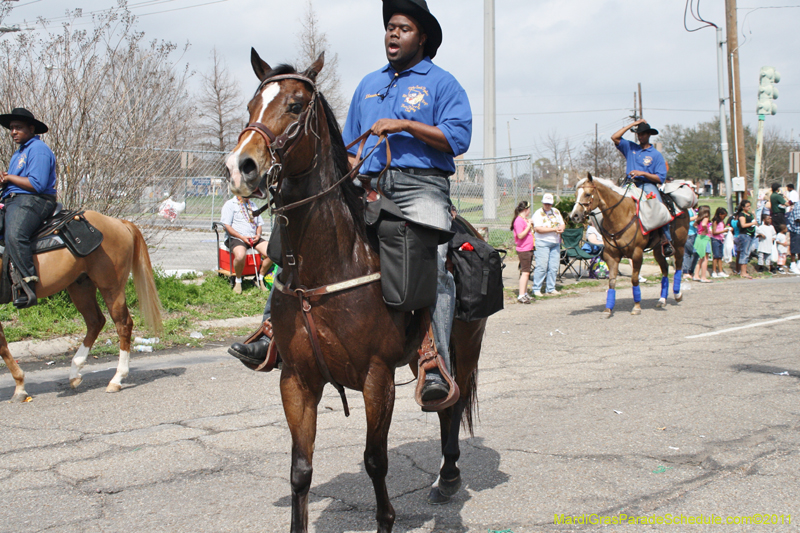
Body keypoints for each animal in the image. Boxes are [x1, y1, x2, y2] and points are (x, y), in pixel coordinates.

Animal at [0, 210, 162, 402]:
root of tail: (118, 222)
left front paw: (20, 386)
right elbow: (3, 345)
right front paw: (19, 387)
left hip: (111, 288)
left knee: (123, 324)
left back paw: (117, 378)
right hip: (80, 286)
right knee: (95, 321)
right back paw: (75, 371)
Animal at [225, 47, 488, 528]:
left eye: (295, 105)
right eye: (251, 106)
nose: (241, 166)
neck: (330, 266)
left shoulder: (376, 378)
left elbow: (375, 461)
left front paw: (386, 518)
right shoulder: (296, 380)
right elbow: (301, 470)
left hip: (464, 349)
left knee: (451, 406)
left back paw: (448, 477)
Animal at [568, 175, 688, 316]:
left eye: (587, 194)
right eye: (575, 194)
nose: (574, 216)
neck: (620, 216)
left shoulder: (636, 253)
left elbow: (634, 279)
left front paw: (637, 307)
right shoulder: (612, 255)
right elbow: (612, 281)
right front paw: (608, 309)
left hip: (679, 245)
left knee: (678, 266)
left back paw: (677, 294)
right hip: (658, 250)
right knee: (664, 270)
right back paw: (662, 299)